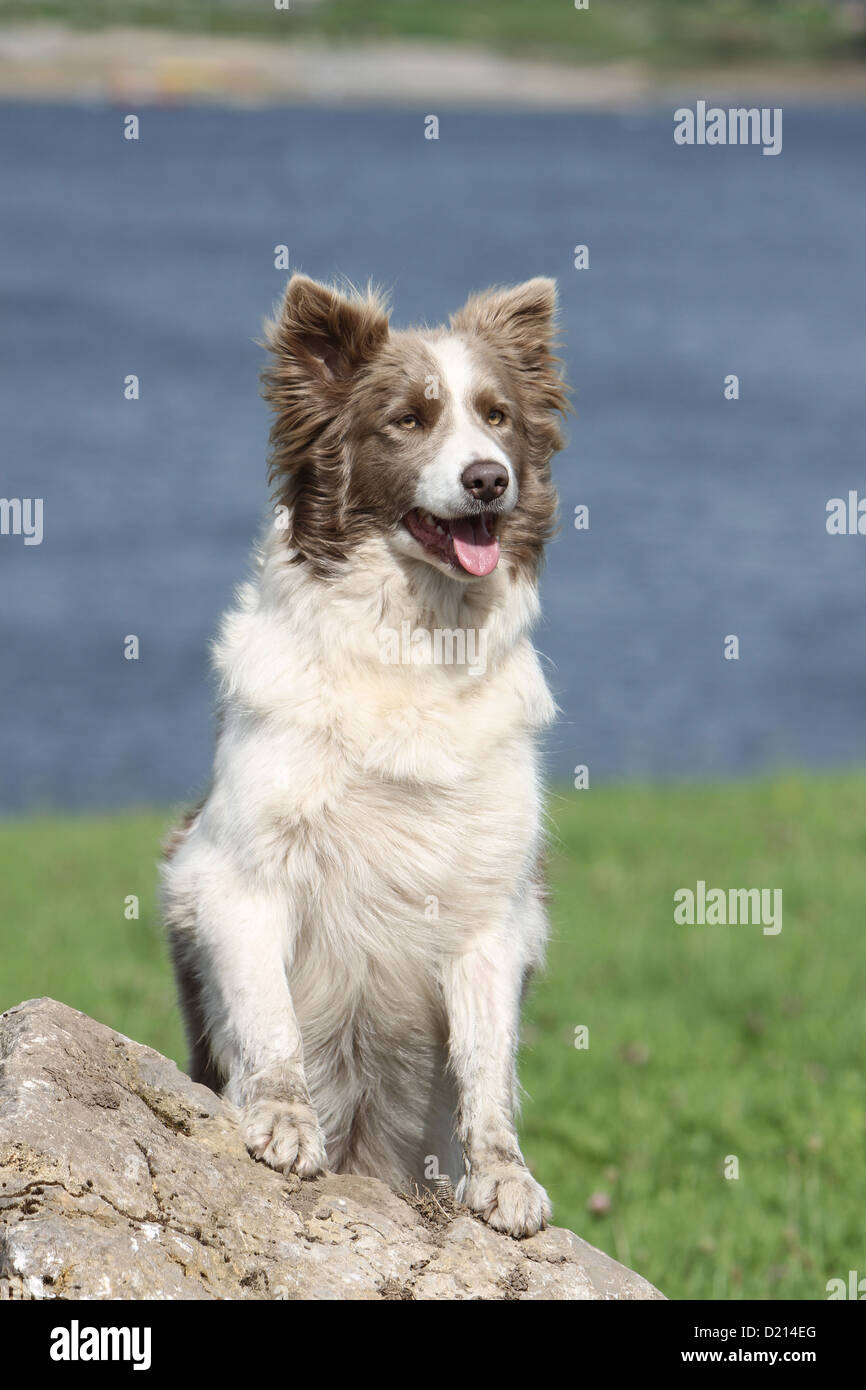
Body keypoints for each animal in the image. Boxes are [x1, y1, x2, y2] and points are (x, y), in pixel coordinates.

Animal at [161, 271, 569, 1239]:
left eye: (497, 416)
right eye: (408, 420)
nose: (489, 479)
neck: (416, 648)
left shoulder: (490, 911)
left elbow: (488, 1070)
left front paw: (504, 1176)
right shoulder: (234, 875)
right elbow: (269, 1021)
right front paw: (282, 1119)